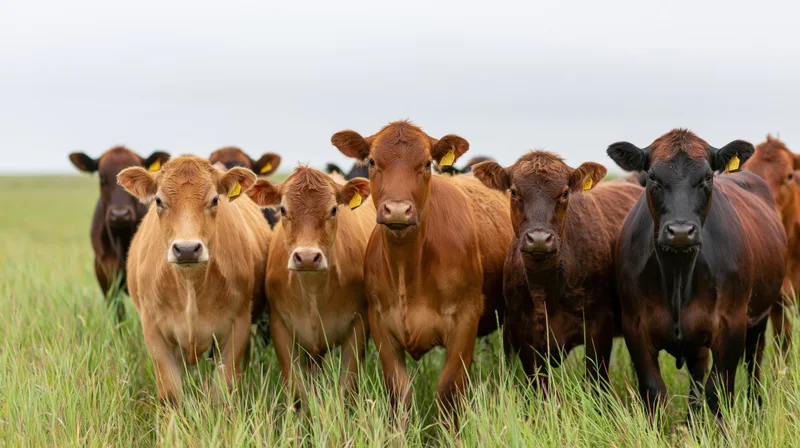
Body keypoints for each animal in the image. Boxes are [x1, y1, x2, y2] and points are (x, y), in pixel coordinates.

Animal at [118, 156, 272, 403]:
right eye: (158, 200)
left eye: (215, 199)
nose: (187, 249)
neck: (190, 285)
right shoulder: (153, 330)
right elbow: (171, 393)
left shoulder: (238, 326)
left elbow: (223, 390)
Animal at [247, 167, 374, 404]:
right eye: (283, 209)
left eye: (334, 209)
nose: (307, 257)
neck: (313, 290)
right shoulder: (280, 327)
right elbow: (298, 391)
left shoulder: (358, 326)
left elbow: (345, 387)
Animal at [330, 120, 513, 413]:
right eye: (371, 161)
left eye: (427, 163)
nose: (397, 210)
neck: (407, 269)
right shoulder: (380, 322)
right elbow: (398, 391)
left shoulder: (465, 320)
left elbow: (449, 390)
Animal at [472, 152, 641, 387]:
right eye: (514, 192)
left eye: (565, 192)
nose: (539, 239)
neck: (545, 289)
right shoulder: (522, 331)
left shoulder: (599, 323)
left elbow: (596, 381)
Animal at [606, 129, 787, 417]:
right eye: (652, 177)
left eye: (707, 177)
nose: (681, 231)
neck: (678, 275)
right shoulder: (635, 327)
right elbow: (654, 391)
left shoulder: (731, 324)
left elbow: (719, 390)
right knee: (697, 372)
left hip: (760, 316)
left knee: (754, 362)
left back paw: (756, 409)